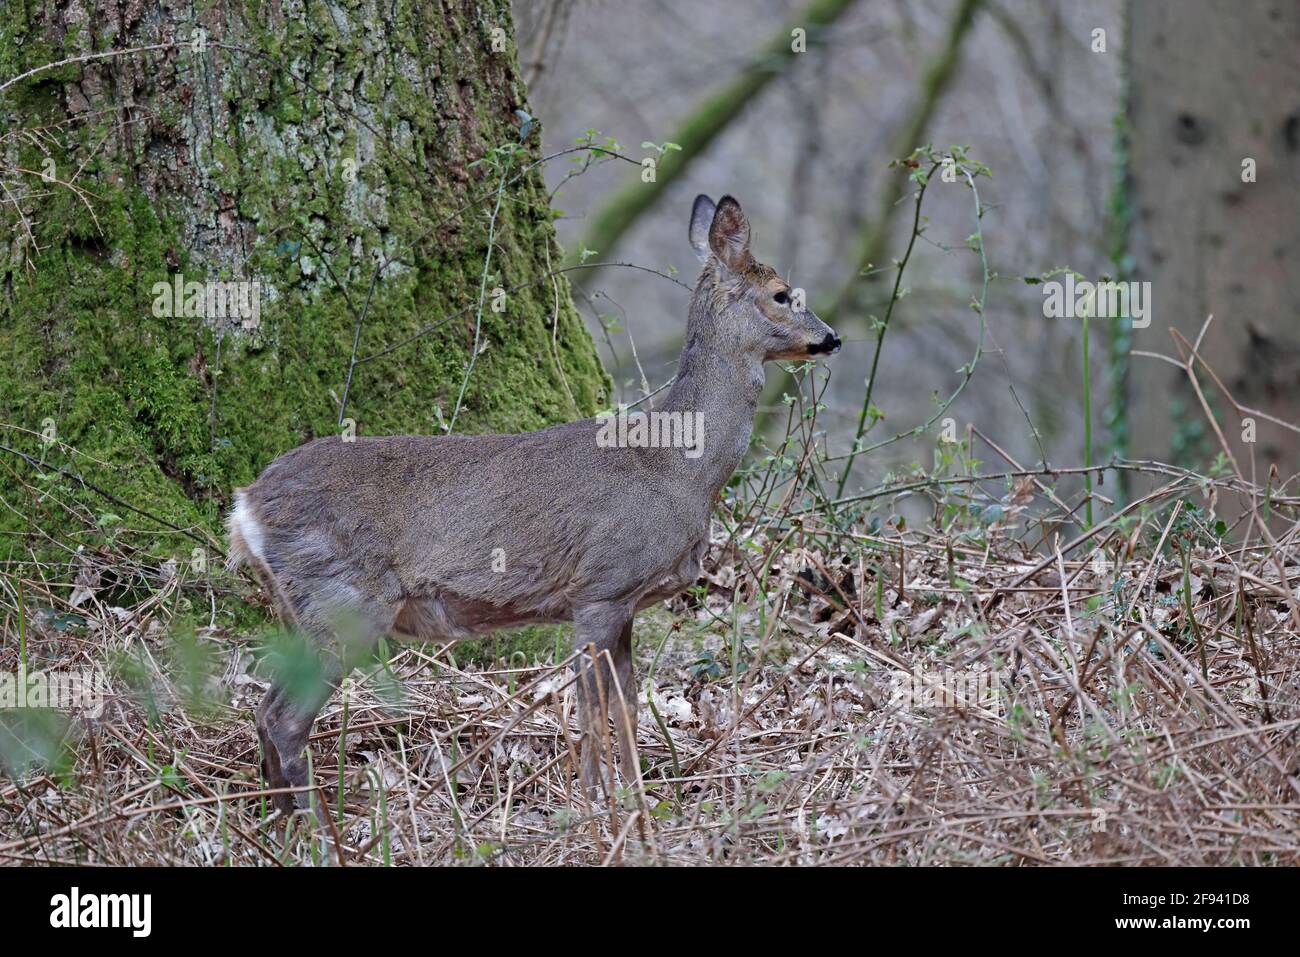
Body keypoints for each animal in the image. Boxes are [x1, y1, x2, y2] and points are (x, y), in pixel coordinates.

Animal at [227, 195, 837, 816]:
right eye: (782, 293)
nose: (832, 337)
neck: (677, 466)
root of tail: (245, 505)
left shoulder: (622, 603)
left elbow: (627, 706)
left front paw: (638, 803)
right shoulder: (601, 588)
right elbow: (592, 712)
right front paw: (597, 806)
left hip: (306, 609)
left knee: (264, 710)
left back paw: (281, 820)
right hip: (344, 600)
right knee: (284, 719)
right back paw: (313, 824)